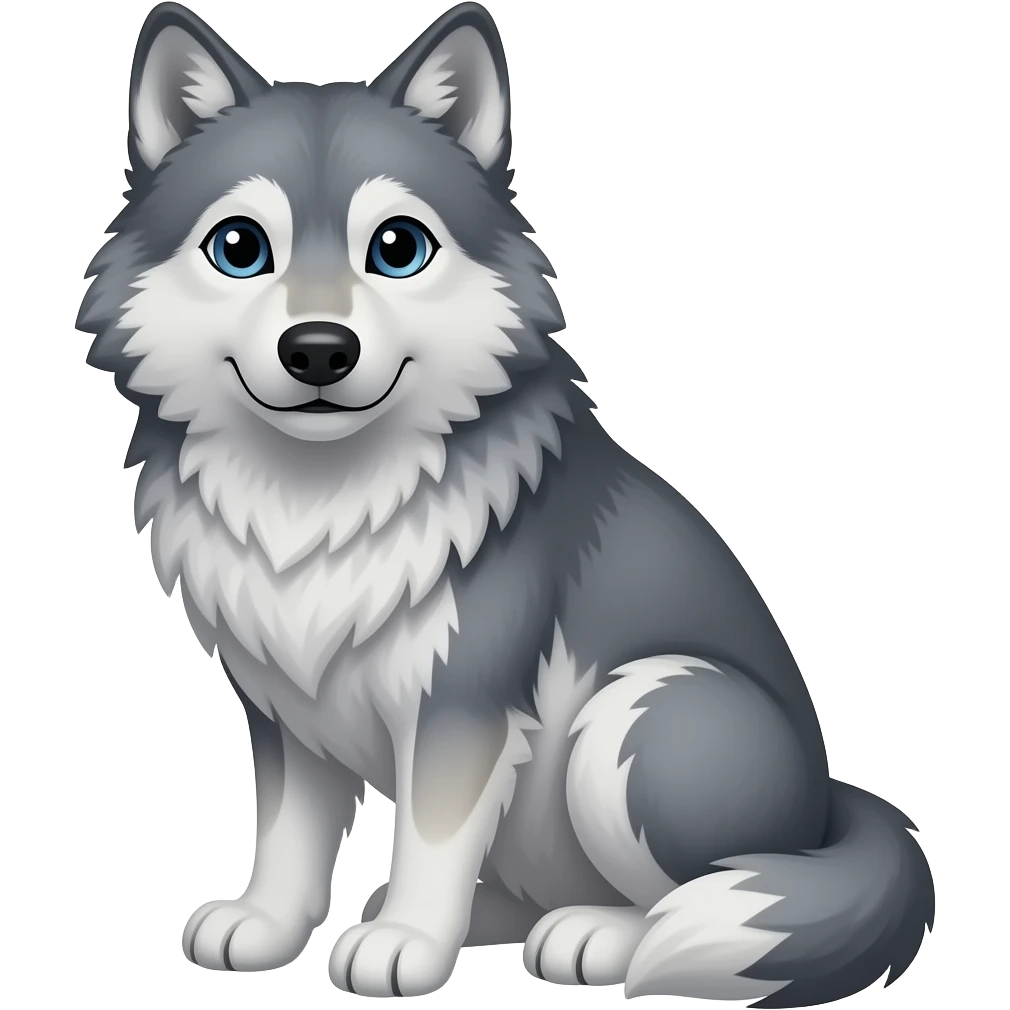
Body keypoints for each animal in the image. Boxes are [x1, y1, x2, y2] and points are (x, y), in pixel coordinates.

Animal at [78, 1, 935, 1003]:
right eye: (240, 248)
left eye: (397, 248)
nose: (320, 349)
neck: (322, 503)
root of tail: (826, 810)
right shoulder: (288, 708)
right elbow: (288, 833)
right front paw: (266, 926)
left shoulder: (465, 701)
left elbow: (433, 836)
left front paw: (407, 944)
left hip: (643, 714)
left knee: (694, 893)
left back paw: (599, 937)